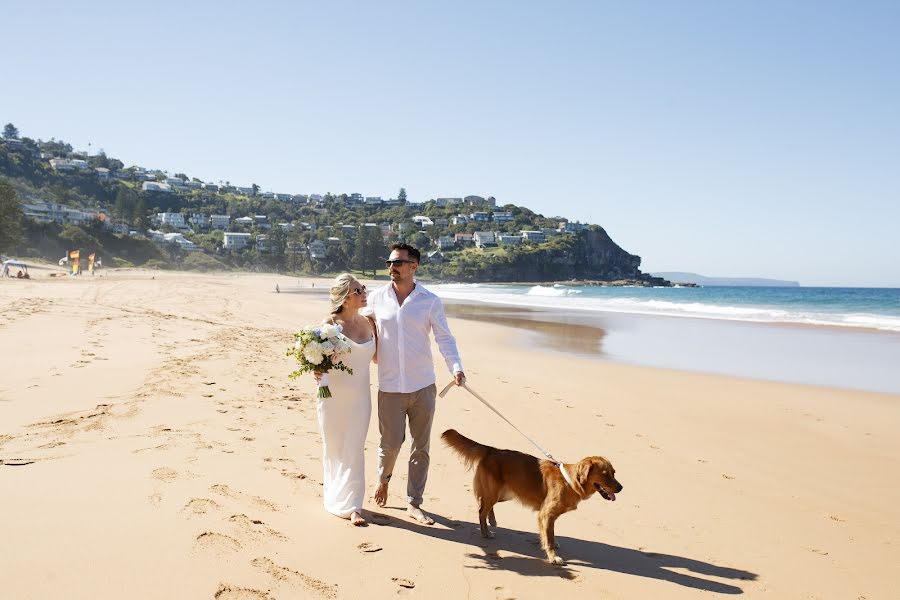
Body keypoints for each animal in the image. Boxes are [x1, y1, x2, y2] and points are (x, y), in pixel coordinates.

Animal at [442, 428, 624, 564]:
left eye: (614, 473)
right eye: (605, 475)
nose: (621, 488)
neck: (569, 482)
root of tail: (491, 450)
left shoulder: (549, 515)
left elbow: (550, 533)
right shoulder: (546, 513)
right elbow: (548, 538)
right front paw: (553, 557)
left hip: (504, 494)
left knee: (486, 506)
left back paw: (491, 521)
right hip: (494, 492)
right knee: (481, 510)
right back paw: (485, 532)